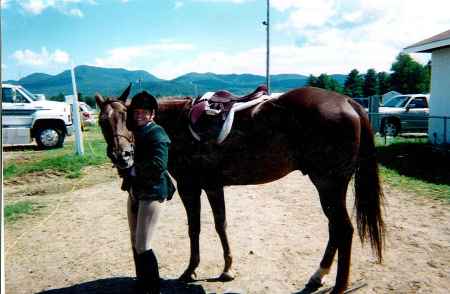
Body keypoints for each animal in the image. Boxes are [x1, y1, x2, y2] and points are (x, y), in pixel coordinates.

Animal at [95, 85, 384, 294]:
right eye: (101, 122)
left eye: (128, 117)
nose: (123, 156)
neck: (177, 126)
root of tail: (348, 102)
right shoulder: (212, 186)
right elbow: (220, 224)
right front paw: (227, 268)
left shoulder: (192, 187)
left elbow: (196, 228)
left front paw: (192, 270)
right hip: (331, 188)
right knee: (336, 229)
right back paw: (318, 276)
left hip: (328, 185)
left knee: (343, 230)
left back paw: (337, 286)